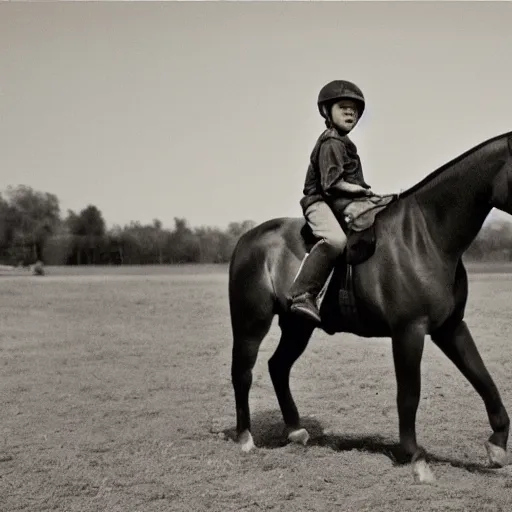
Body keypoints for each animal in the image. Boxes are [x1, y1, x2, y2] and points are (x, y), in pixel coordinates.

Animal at [230, 130, 512, 482]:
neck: (427, 235)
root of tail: (247, 238)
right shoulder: (409, 331)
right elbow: (409, 394)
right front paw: (416, 459)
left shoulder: (450, 327)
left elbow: (482, 377)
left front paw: (497, 446)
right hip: (250, 324)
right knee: (242, 373)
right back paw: (245, 439)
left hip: (298, 326)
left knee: (278, 366)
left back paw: (296, 431)